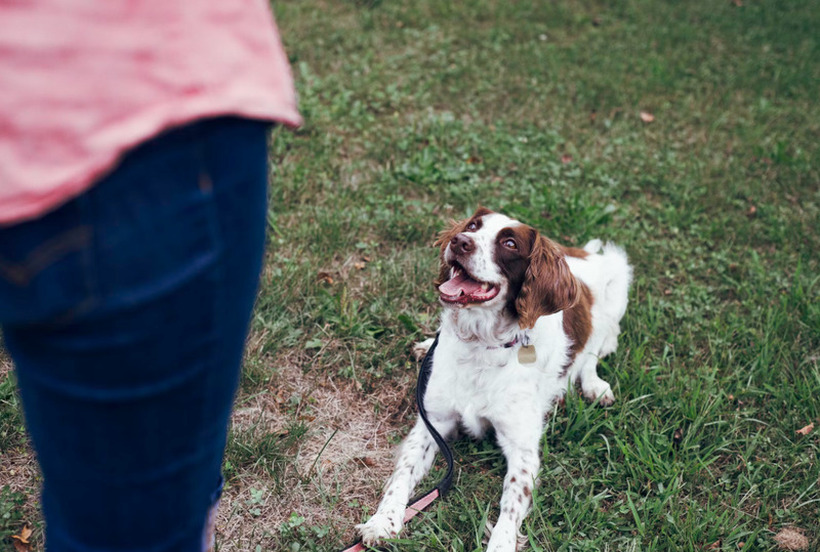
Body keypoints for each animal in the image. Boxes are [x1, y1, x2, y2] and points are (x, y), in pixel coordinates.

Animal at [356, 208, 632, 552]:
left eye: (510, 243)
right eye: (473, 226)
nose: (460, 241)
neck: (481, 344)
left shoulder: (522, 448)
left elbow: (510, 504)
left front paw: (500, 543)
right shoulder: (433, 421)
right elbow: (402, 474)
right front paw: (383, 521)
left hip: (617, 279)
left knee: (596, 348)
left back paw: (594, 385)